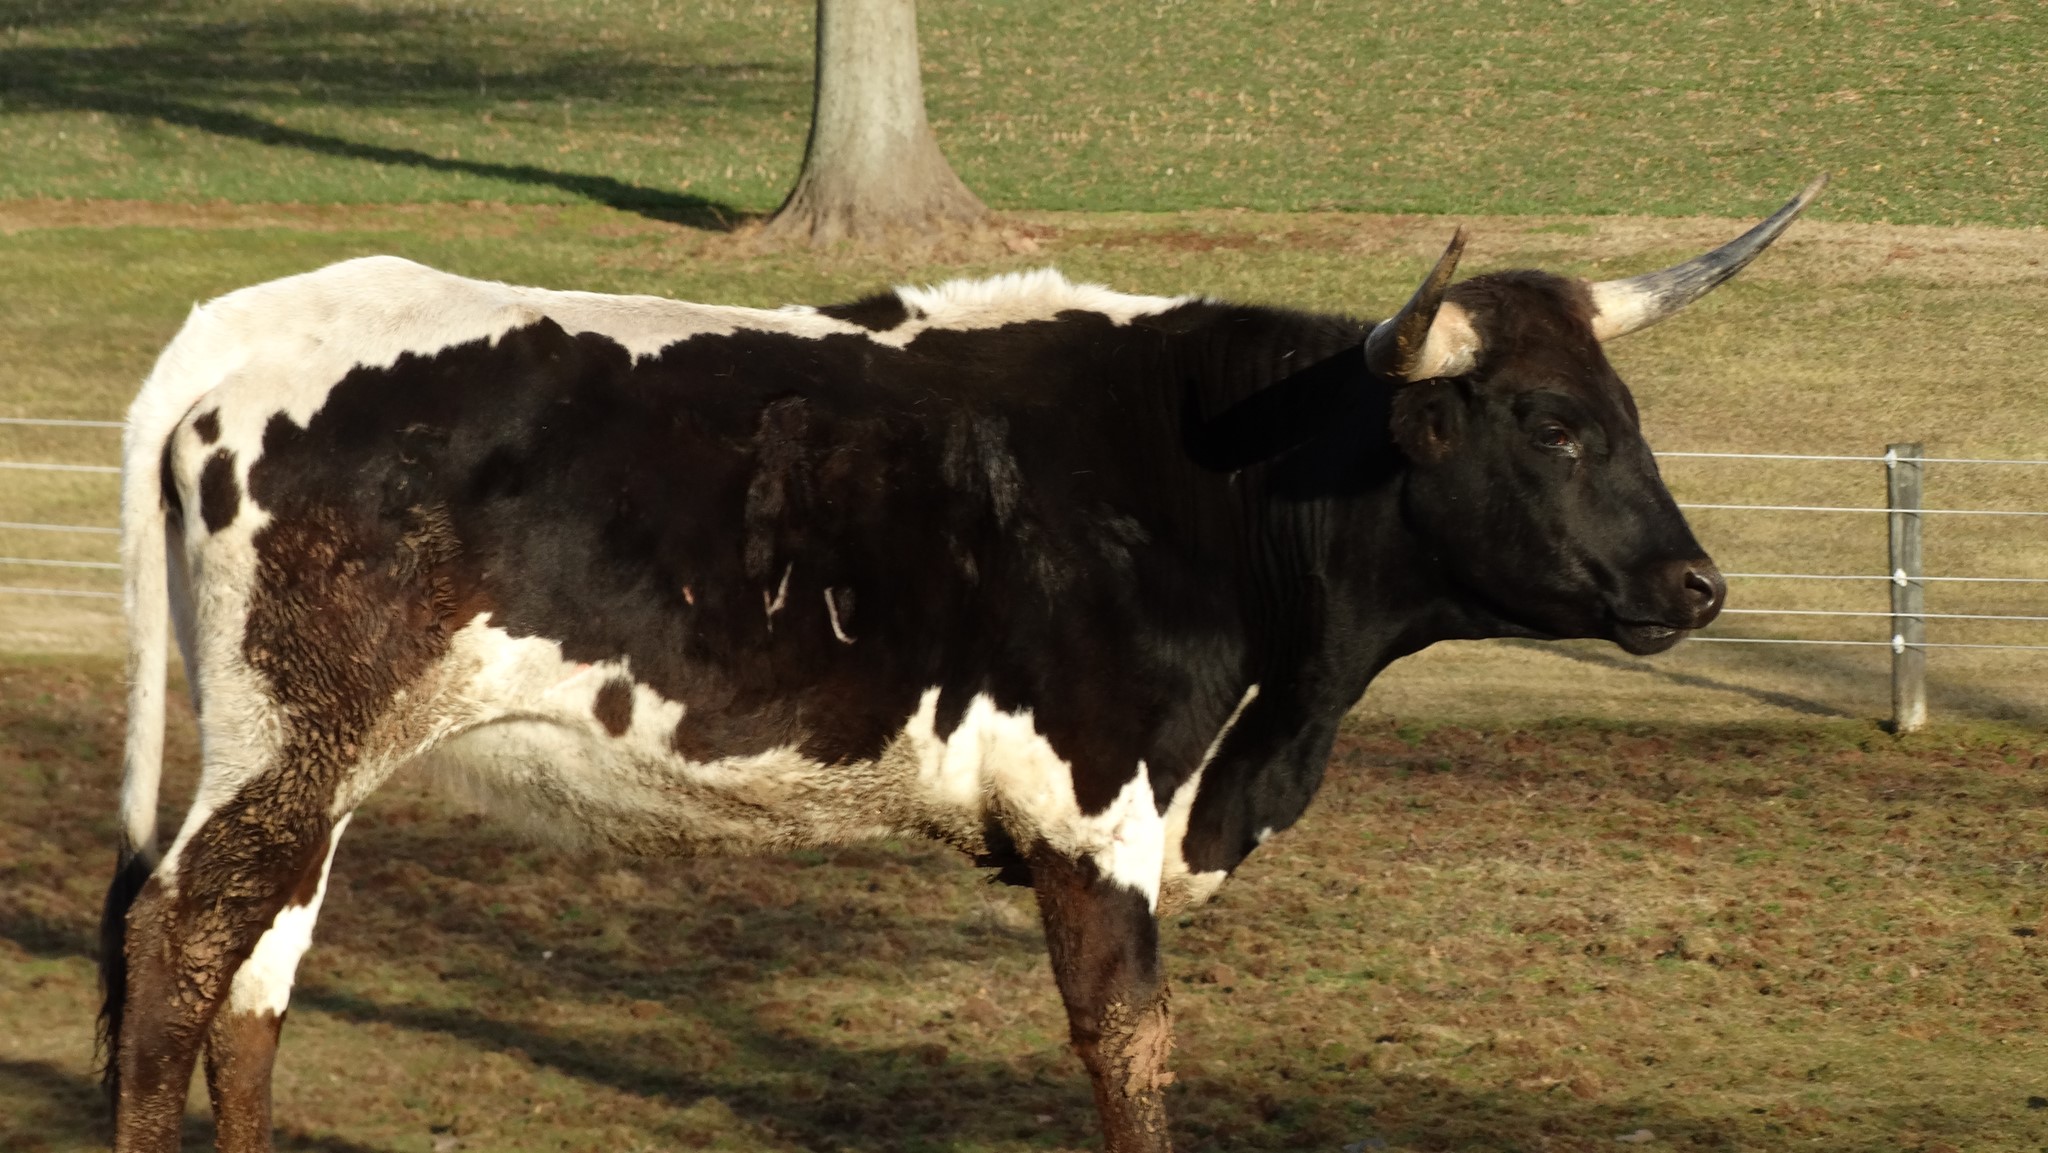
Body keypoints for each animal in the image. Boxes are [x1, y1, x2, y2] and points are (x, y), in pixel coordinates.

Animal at [100, 178, 1822, 1153]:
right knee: (181, 942)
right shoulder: (1093, 808)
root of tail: (246, 326)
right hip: (290, 743)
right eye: (1551, 423)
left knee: (252, 978)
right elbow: (1130, 1044)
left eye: (1627, 410)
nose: (1697, 584)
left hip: (315, 767)